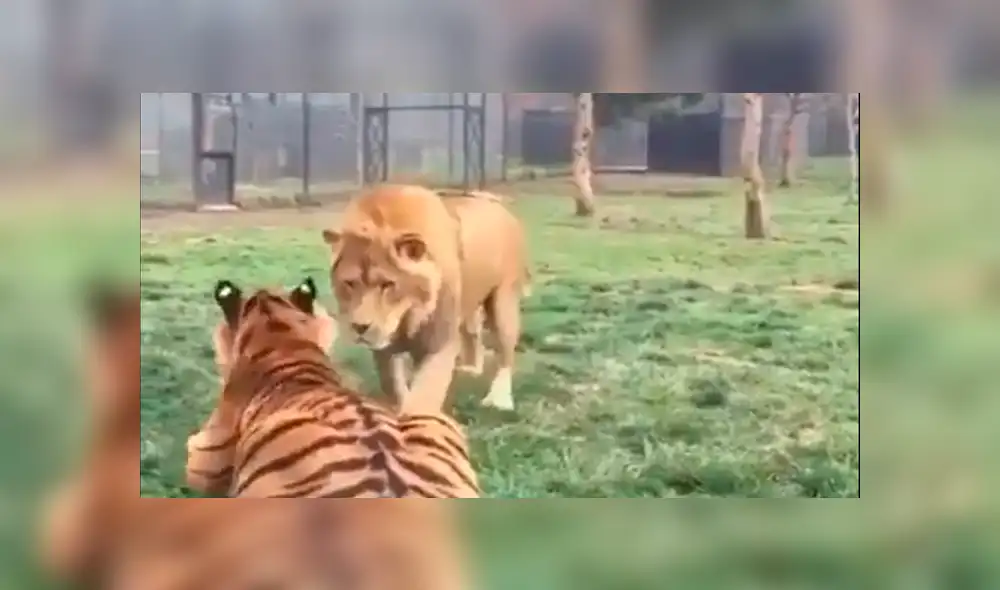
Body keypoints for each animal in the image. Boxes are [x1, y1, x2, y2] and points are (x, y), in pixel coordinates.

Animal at [321, 184, 529, 413]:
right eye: (350, 283)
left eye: (387, 284)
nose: (360, 327)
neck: (408, 318)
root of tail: (497, 204)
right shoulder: (384, 349)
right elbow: (393, 386)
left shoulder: (440, 345)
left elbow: (423, 396)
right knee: (473, 333)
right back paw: (471, 368)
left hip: (503, 304)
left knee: (506, 353)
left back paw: (499, 400)